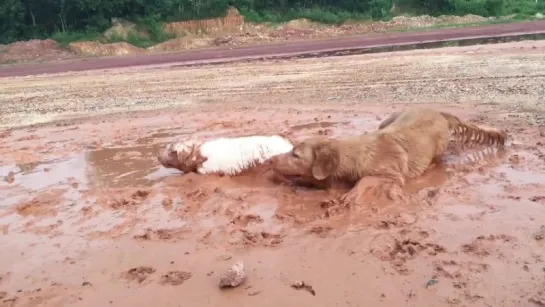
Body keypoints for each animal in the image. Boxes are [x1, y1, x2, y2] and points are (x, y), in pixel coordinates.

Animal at [270, 106, 504, 207]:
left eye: (296, 154)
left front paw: (351, 195)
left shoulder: (393, 175)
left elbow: (365, 180)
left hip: (438, 148)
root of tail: (439, 111)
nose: (271, 160)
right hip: (388, 119)